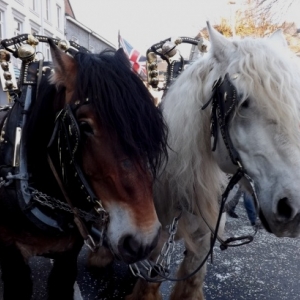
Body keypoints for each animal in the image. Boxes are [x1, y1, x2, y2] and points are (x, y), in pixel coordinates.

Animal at [126, 22, 300, 300]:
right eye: (241, 102)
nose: (293, 209)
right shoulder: (155, 238)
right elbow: (148, 282)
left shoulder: (202, 238)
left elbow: (191, 280)